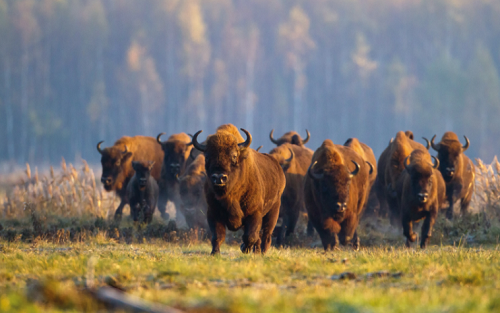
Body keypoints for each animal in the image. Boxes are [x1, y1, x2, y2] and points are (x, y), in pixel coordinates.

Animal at [191, 126, 286, 254]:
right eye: (207, 157)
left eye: (234, 156)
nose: (219, 177)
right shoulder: (213, 212)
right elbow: (217, 235)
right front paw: (215, 253)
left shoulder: (254, 213)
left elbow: (250, 236)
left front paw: (244, 248)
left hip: (273, 210)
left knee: (266, 234)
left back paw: (262, 252)